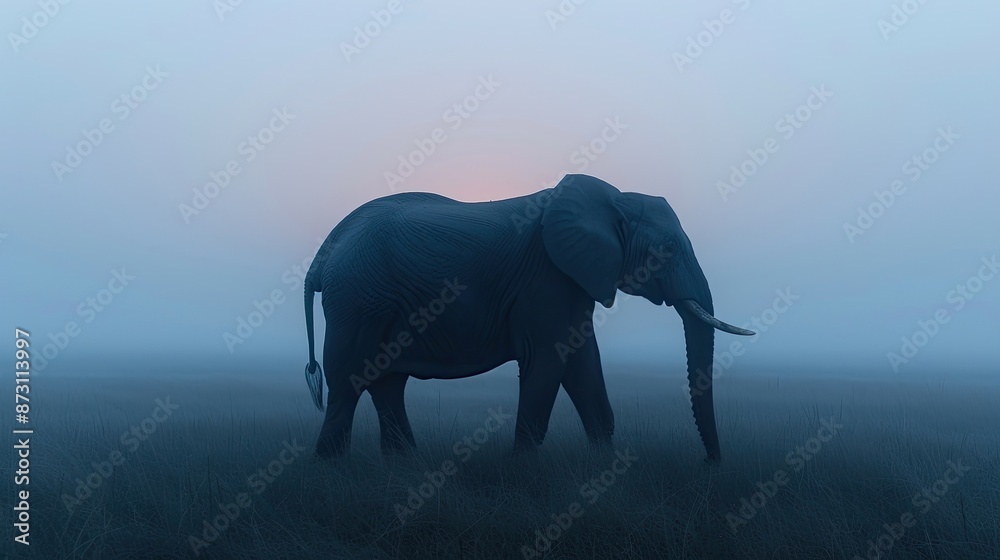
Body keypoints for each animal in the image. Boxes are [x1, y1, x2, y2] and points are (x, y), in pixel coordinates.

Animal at [301, 174, 753, 463]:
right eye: (670, 249)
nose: (711, 463)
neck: (614, 199)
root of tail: (324, 253)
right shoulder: (547, 278)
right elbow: (548, 361)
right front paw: (521, 469)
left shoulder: (573, 279)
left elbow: (583, 367)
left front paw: (605, 465)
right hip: (358, 301)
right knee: (350, 382)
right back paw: (330, 467)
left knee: (387, 382)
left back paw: (402, 463)